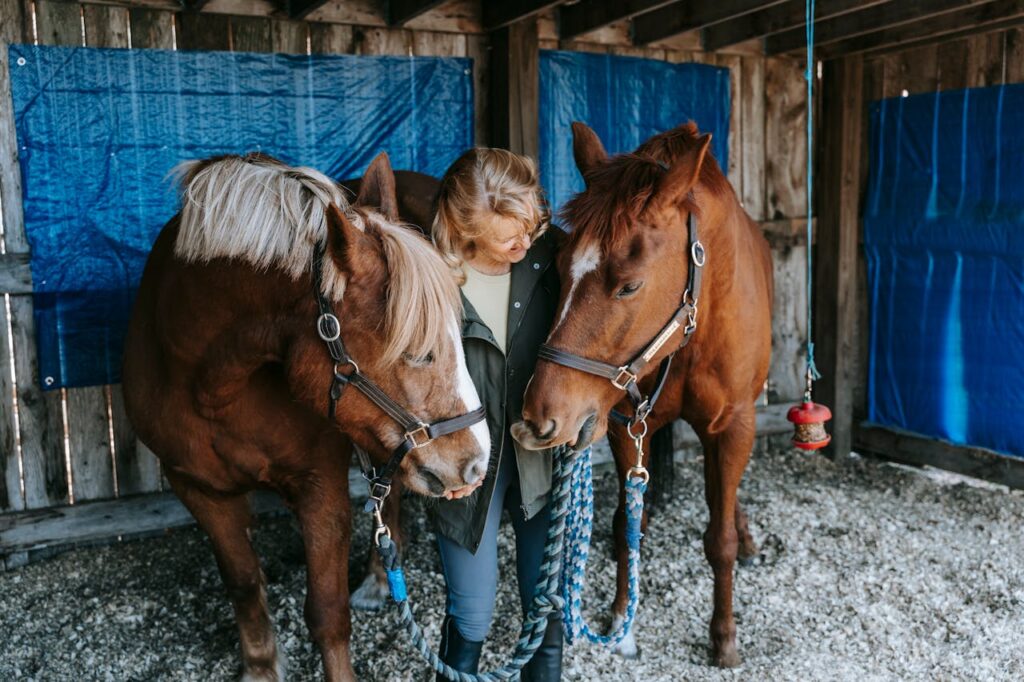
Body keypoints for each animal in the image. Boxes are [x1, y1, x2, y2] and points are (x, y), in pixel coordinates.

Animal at [122, 151, 491, 682]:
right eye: (417, 350)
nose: (476, 463)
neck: (213, 386)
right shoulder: (198, 488)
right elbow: (242, 583)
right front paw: (259, 665)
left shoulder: (319, 485)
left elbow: (326, 610)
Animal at [511, 121, 773, 667]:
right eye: (558, 268)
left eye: (629, 287)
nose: (540, 417)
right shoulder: (626, 425)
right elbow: (625, 525)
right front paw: (620, 621)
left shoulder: (735, 425)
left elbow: (719, 539)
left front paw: (724, 637)